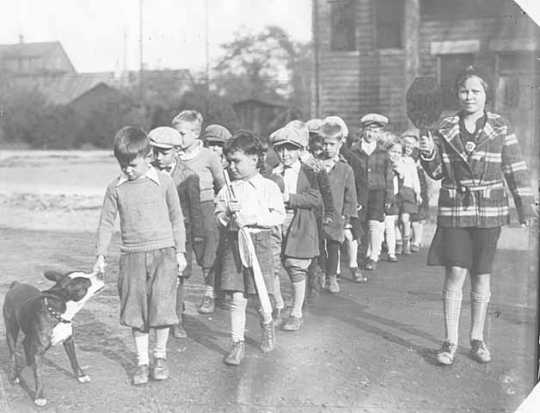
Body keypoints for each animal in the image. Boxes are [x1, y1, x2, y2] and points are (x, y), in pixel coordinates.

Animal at [2, 270, 104, 406]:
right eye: (85, 282)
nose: (100, 273)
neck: (59, 314)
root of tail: (16, 285)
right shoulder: (39, 350)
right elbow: (39, 375)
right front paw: (39, 396)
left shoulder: (68, 341)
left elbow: (74, 360)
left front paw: (81, 376)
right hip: (11, 329)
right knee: (13, 354)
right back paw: (14, 376)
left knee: (25, 343)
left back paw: (30, 363)